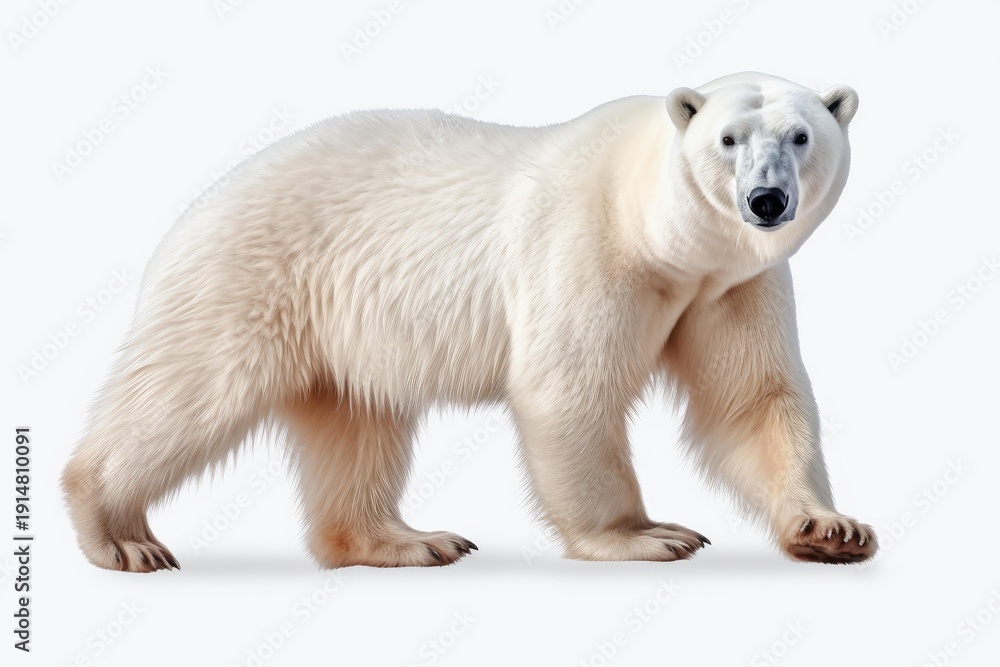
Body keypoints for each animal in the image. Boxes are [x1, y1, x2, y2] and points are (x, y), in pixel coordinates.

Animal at [62, 71, 876, 572]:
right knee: (190, 389)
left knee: (356, 419)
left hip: (340, 329)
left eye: (801, 136)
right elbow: (568, 390)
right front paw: (648, 534)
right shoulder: (588, 249)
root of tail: (197, 203)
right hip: (252, 279)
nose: (765, 200)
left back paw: (410, 540)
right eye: (727, 139)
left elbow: (752, 399)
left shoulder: (730, 287)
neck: (654, 226)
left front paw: (830, 528)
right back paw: (120, 535)